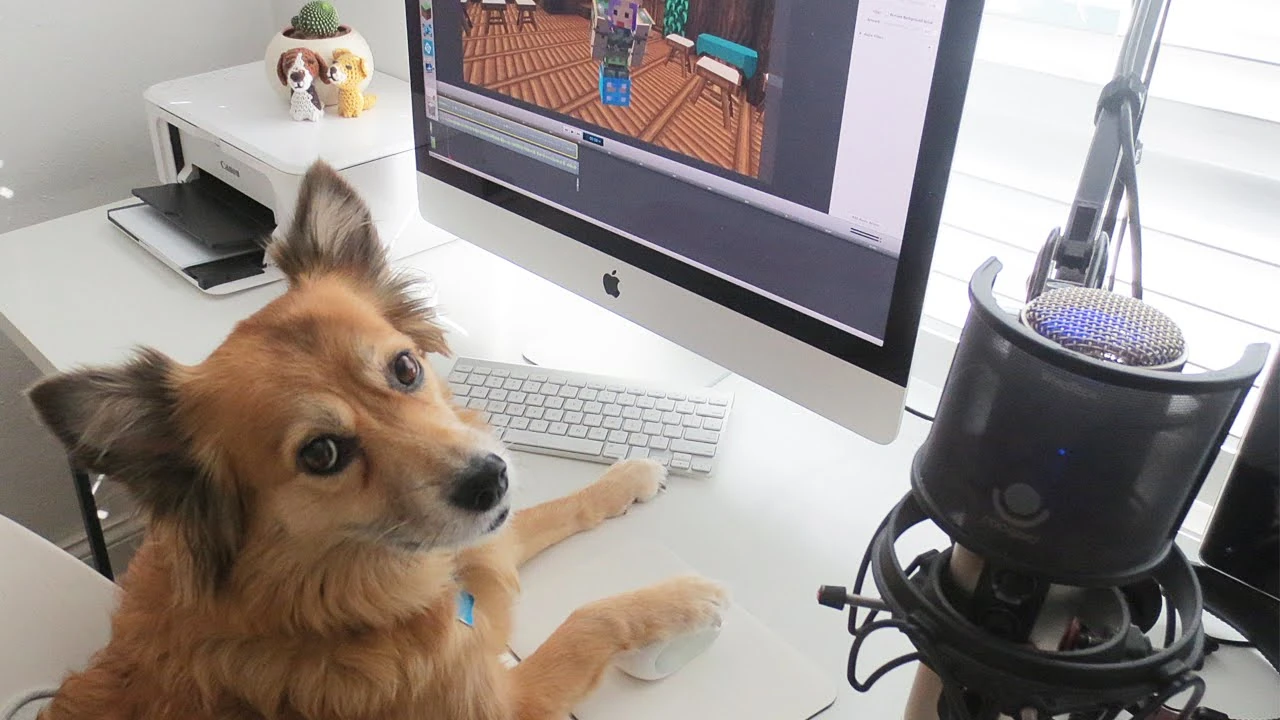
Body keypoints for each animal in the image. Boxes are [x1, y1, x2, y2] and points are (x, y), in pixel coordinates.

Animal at [27, 161, 727, 720]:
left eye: (406, 368)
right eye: (321, 454)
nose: (491, 479)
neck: (331, 611)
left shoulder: (486, 541)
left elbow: (561, 508)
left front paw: (630, 475)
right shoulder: (511, 702)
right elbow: (588, 620)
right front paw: (683, 596)